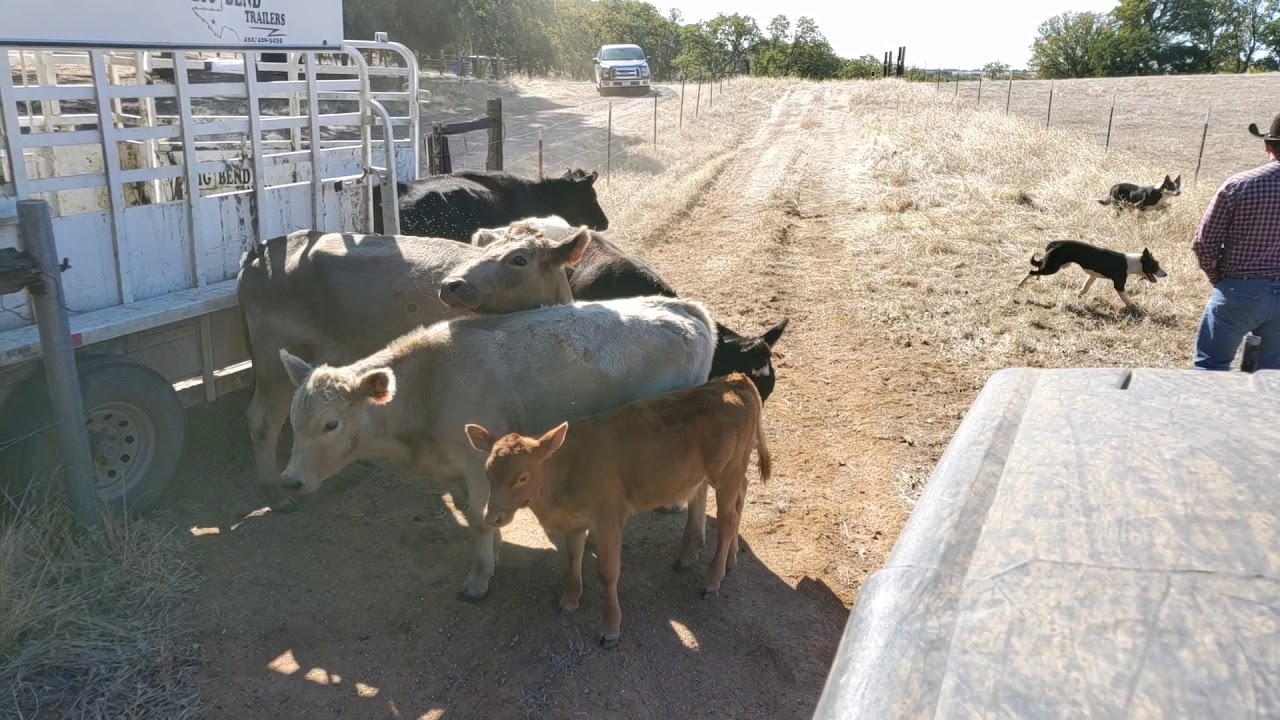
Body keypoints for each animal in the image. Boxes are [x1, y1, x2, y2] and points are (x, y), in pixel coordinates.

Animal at [237, 226, 592, 511]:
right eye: (486, 252)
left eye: (519, 259)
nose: (451, 284)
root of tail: (263, 250)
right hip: (273, 364)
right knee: (262, 420)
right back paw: (275, 494)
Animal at [275, 296, 718, 602]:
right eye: (293, 421)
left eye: (330, 424)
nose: (290, 481)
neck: (428, 384)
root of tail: (682, 307)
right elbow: (481, 513)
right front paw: (497, 548)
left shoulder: (476, 461)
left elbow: (479, 518)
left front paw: (479, 577)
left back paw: (688, 547)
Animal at [465, 371, 771, 648]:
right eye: (488, 472)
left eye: (522, 477)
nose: (493, 516)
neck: (566, 470)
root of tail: (733, 380)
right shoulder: (574, 520)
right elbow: (573, 557)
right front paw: (571, 599)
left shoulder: (609, 518)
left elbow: (607, 572)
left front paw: (610, 628)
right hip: (734, 470)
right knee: (741, 497)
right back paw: (730, 558)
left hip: (726, 472)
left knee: (727, 519)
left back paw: (713, 579)